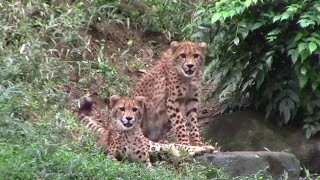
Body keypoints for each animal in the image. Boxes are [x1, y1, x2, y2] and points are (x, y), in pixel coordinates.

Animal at [78, 95, 208, 167]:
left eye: (135, 109)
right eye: (122, 109)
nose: (129, 118)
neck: (130, 133)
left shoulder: (145, 162)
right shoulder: (111, 157)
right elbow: (121, 164)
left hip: (151, 146)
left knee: (171, 144)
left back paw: (202, 149)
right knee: (170, 146)